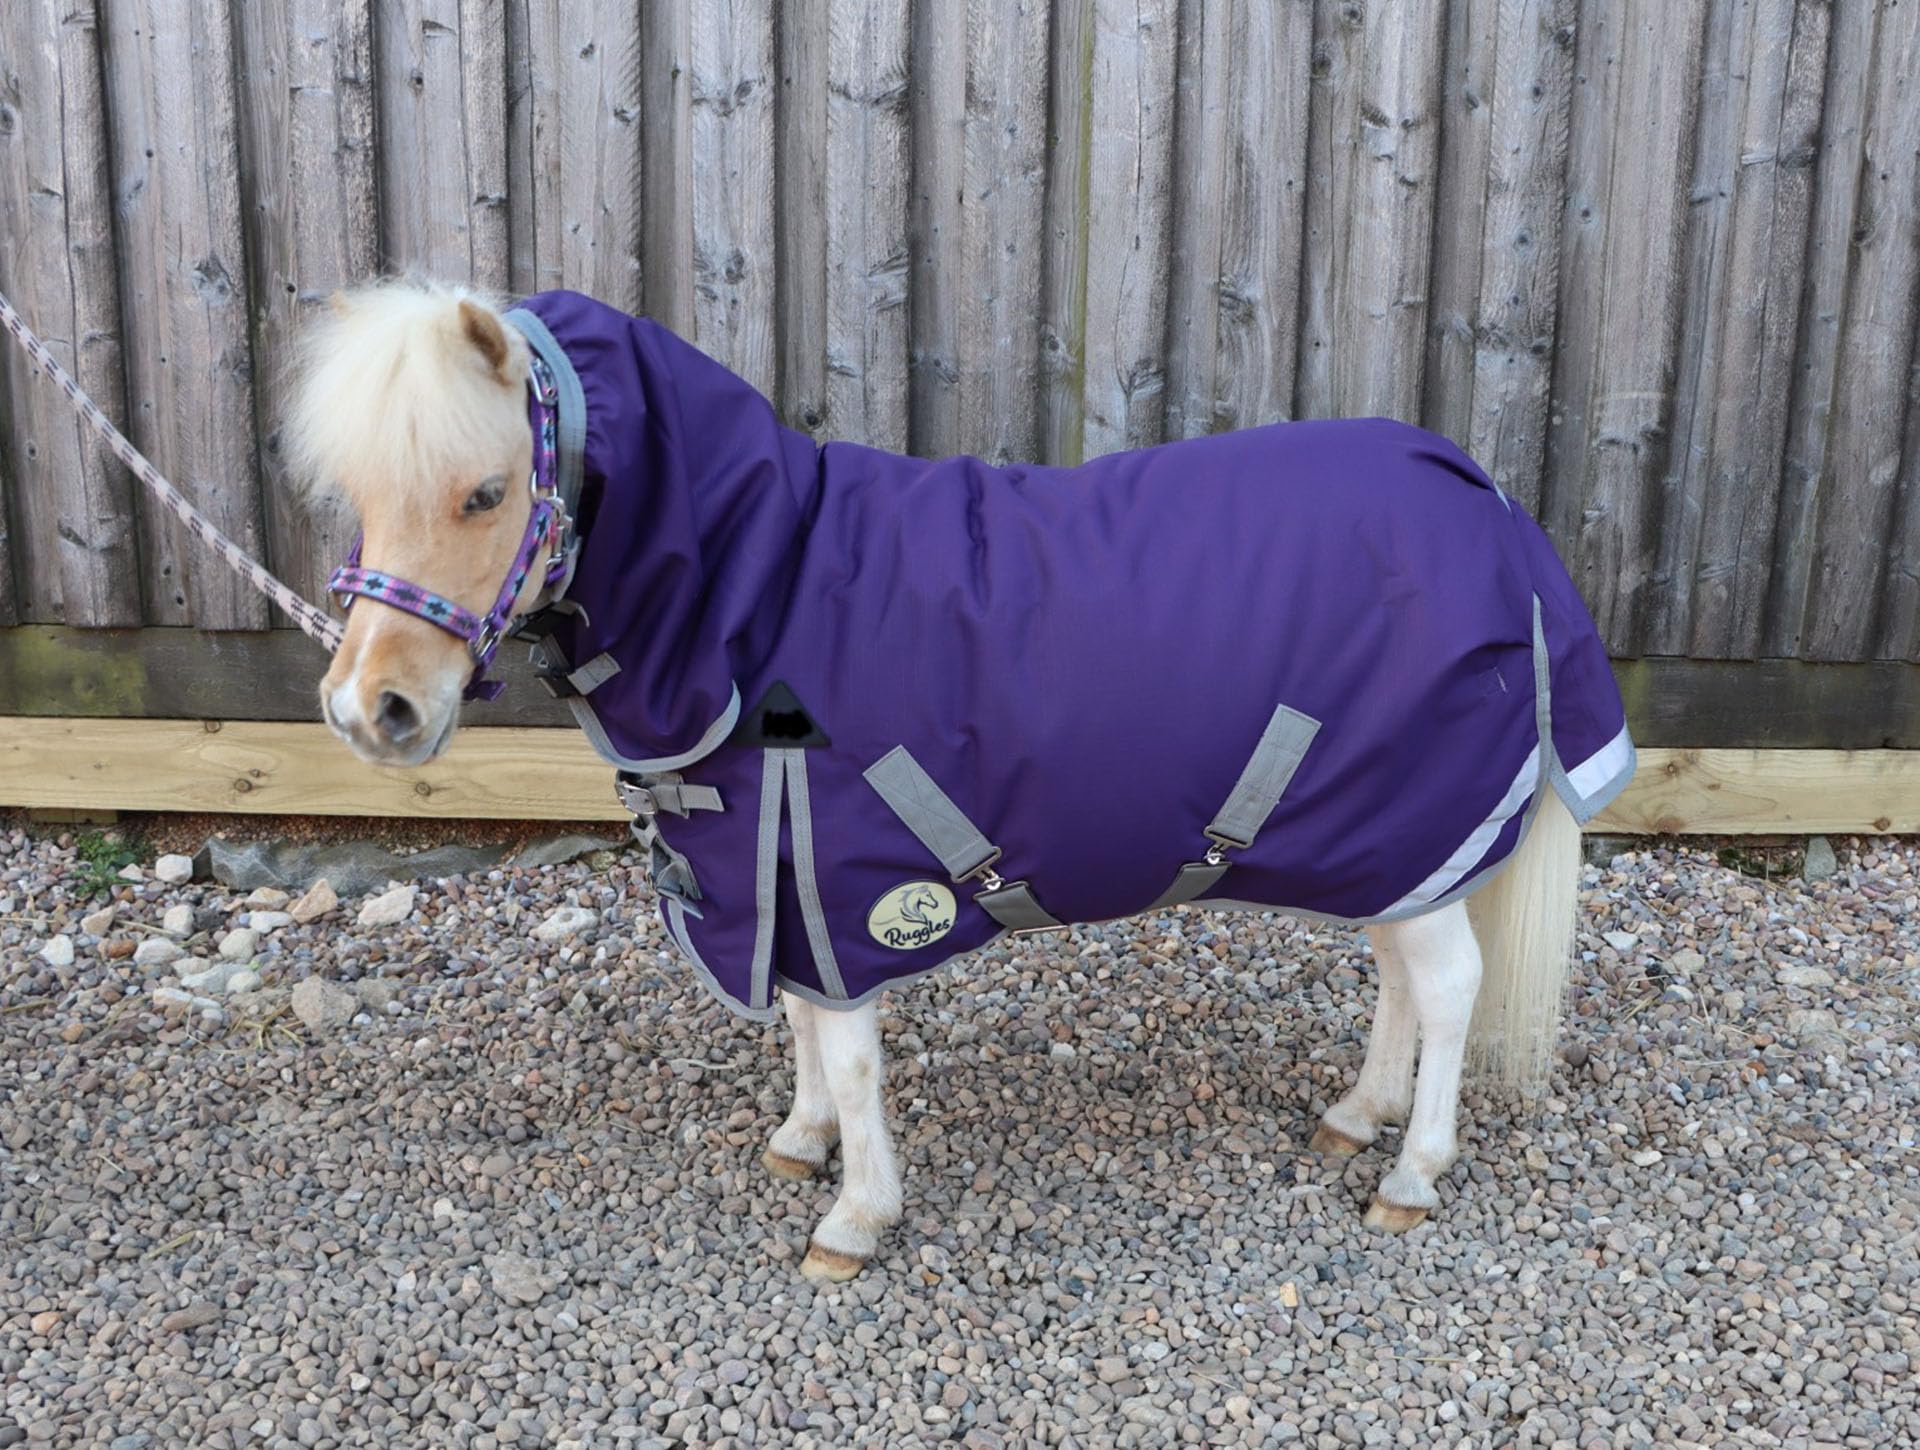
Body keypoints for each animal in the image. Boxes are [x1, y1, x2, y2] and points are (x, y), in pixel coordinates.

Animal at [288, 279, 1632, 1283]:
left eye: (485, 491)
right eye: (358, 494)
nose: (369, 709)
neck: (759, 594)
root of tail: (1488, 504)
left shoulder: (839, 882)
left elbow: (850, 1052)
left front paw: (855, 1217)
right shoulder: (775, 875)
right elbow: (802, 1031)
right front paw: (800, 1143)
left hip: (1417, 820)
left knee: (1448, 987)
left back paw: (1412, 1172)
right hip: (1393, 842)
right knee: (1401, 975)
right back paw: (1359, 1115)